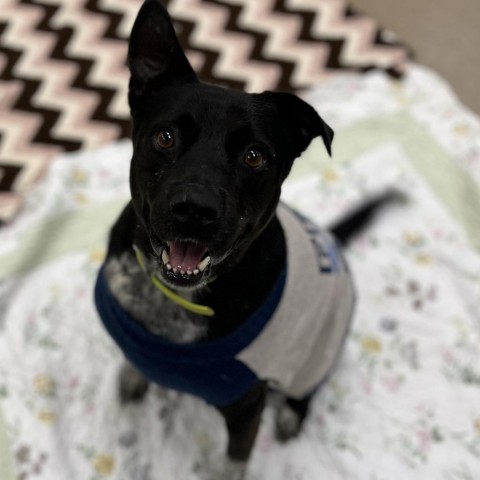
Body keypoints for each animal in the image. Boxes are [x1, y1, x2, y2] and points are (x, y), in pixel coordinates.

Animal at [95, 1, 376, 478]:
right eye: (165, 136)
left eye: (254, 156)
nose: (195, 209)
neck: (170, 299)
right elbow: (134, 361)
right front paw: (134, 378)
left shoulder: (246, 406)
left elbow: (234, 461)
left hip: (319, 349)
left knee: (307, 387)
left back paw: (292, 414)